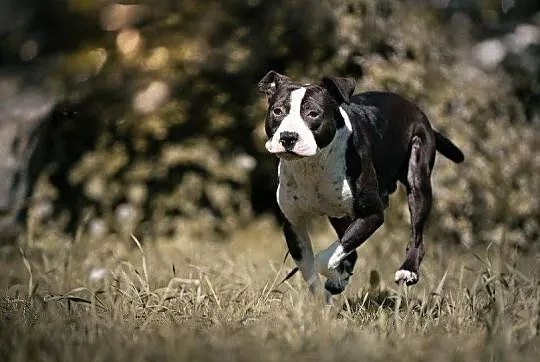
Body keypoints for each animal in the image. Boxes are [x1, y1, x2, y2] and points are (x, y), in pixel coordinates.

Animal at [258, 70, 464, 296]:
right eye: (277, 111)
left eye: (313, 113)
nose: (288, 136)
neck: (313, 163)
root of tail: (417, 111)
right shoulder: (294, 224)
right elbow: (310, 269)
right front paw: (324, 295)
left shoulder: (372, 214)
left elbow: (325, 257)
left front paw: (332, 274)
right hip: (339, 214)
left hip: (418, 178)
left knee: (416, 232)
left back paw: (408, 270)